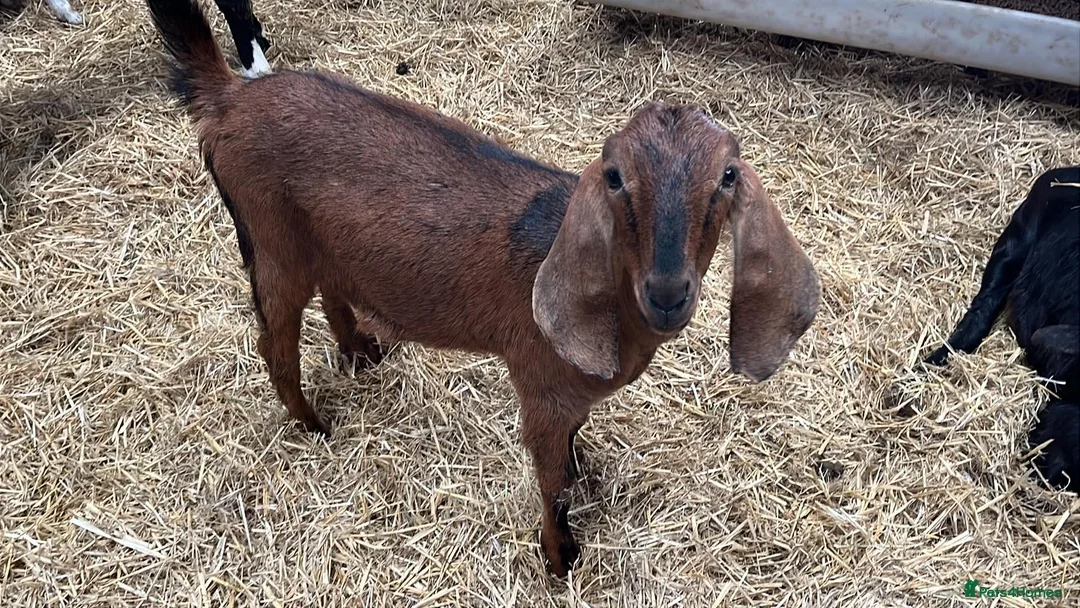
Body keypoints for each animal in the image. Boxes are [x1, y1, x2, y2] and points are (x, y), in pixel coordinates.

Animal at [146, 0, 821, 576]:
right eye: (614, 177)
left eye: (728, 177)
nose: (667, 293)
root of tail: (230, 98)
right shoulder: (540, 386)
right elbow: (550, 481)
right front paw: (559, 558)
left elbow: (572, 448)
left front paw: (584, 473)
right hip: (270, 242)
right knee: (274, 341)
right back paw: (314, 425)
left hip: (316, 245)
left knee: (331, 291)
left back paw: (362, 351)